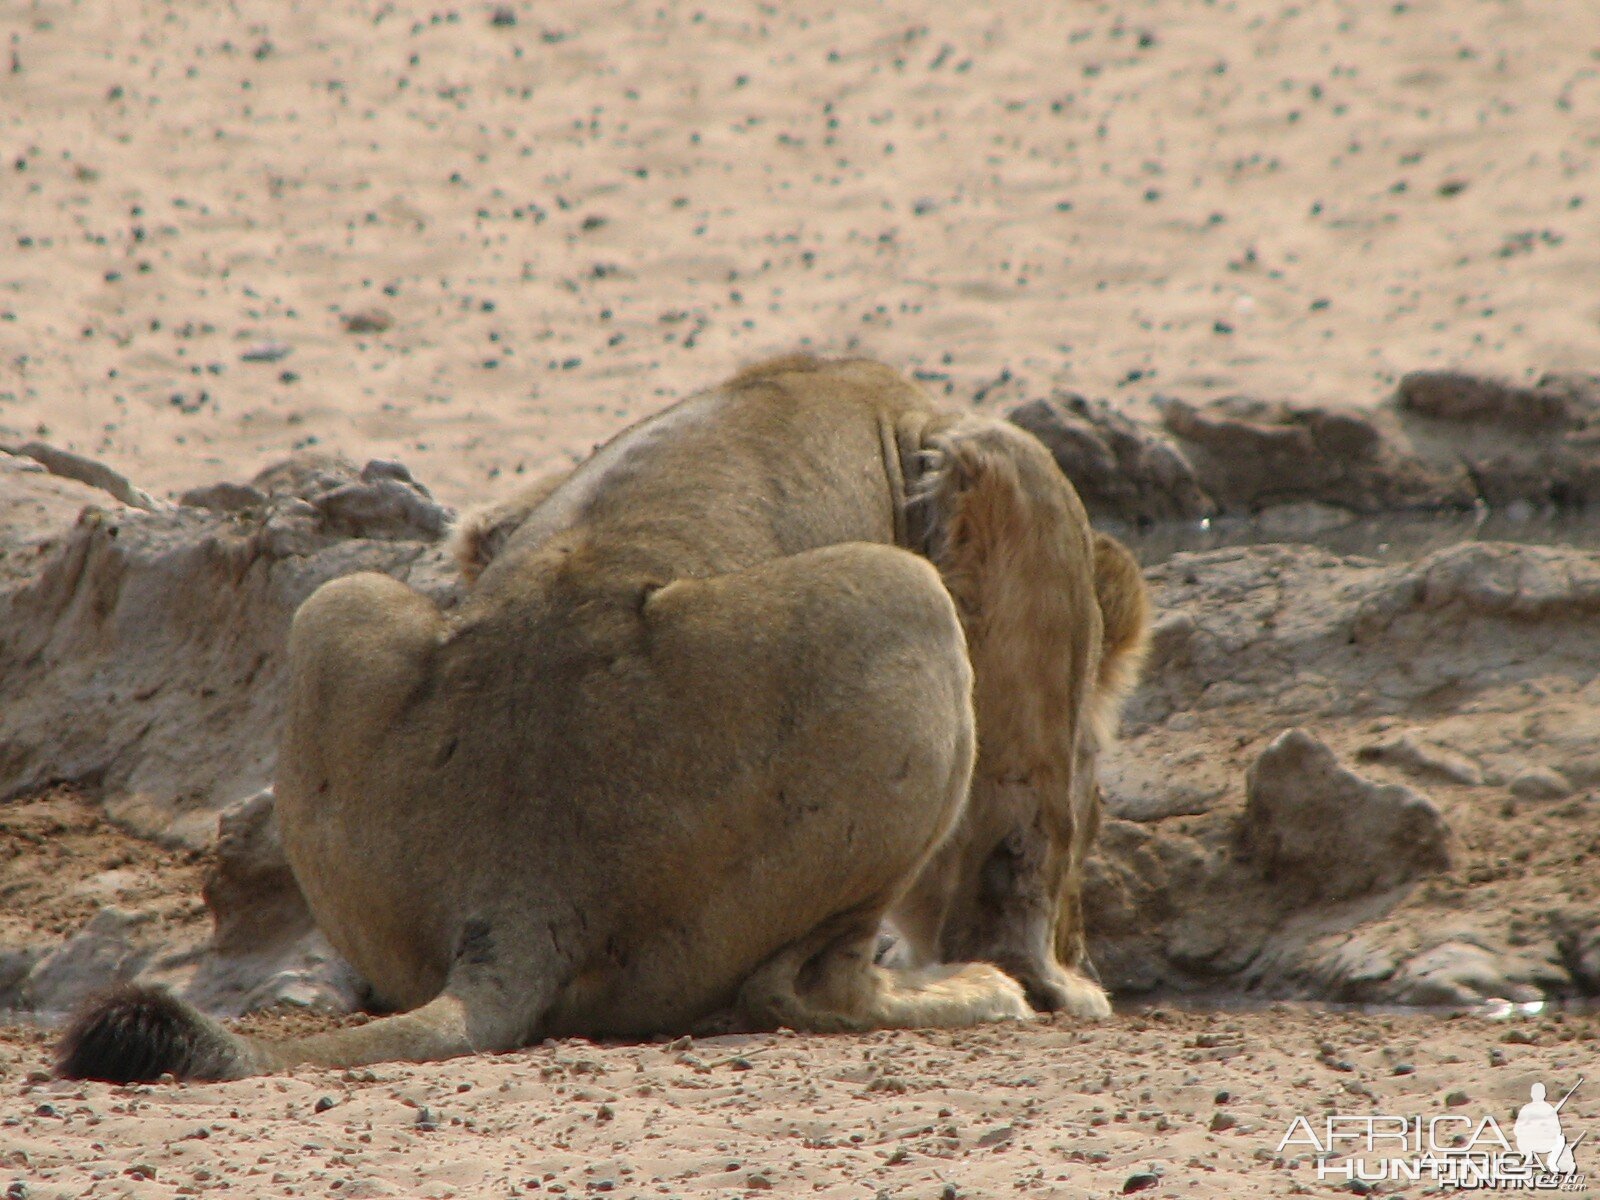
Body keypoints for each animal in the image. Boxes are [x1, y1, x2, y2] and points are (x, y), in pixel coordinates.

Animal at [53, 355, 1152, 1081]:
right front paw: (1060, 981)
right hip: (900, 601)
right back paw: (969, 992)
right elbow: (1030, 810)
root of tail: (517, 884)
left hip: (335, 612)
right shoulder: (1012, 501)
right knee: (801, 989)